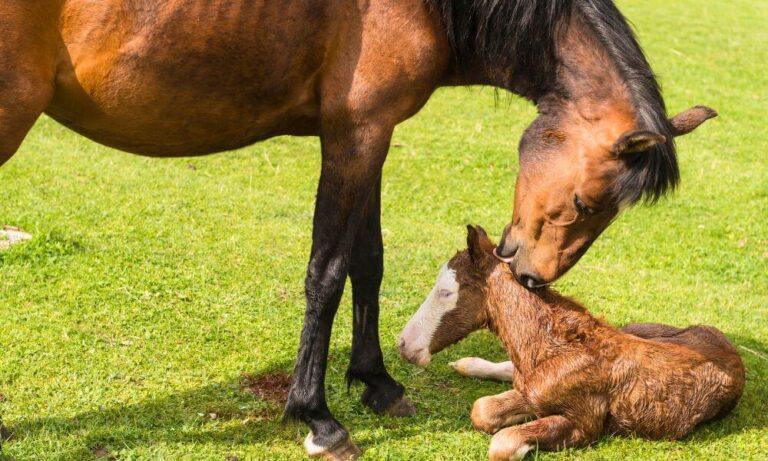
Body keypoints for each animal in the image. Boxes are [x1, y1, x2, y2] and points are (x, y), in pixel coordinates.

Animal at [402, 227, 744, 460]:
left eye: (446, 291)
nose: (404, 344)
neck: (550, 349)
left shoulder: (584, 423)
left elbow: (502, 441)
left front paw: (526, 442)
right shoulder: (531, 390)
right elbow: (483, 410)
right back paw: (468, 364)